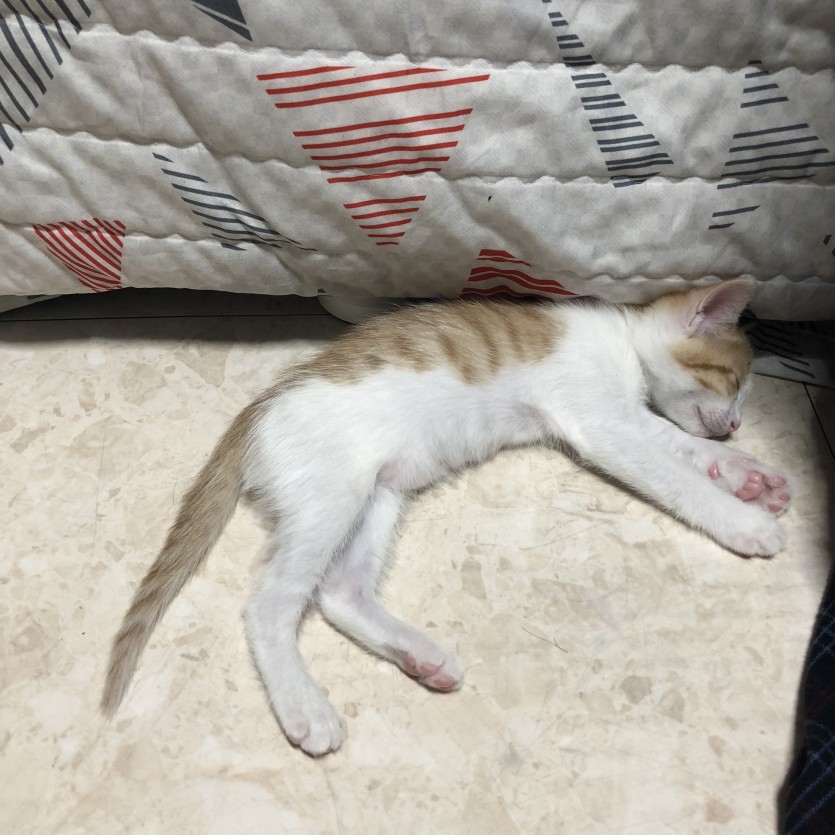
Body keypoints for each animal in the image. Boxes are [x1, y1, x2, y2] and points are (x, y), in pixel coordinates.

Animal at [101, 278, 791, 756]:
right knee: (269, 602)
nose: (736, 426)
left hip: (379, 495)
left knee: (339, 594)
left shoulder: (628, 419)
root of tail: (255, 412)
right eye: (733, 383)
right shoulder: (602, 422)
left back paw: (418, 656)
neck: (618, 336)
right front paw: (745, 520)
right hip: (331, 493)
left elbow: (679, 446)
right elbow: (675, 476)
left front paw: (749, 475)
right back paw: (305, 707)